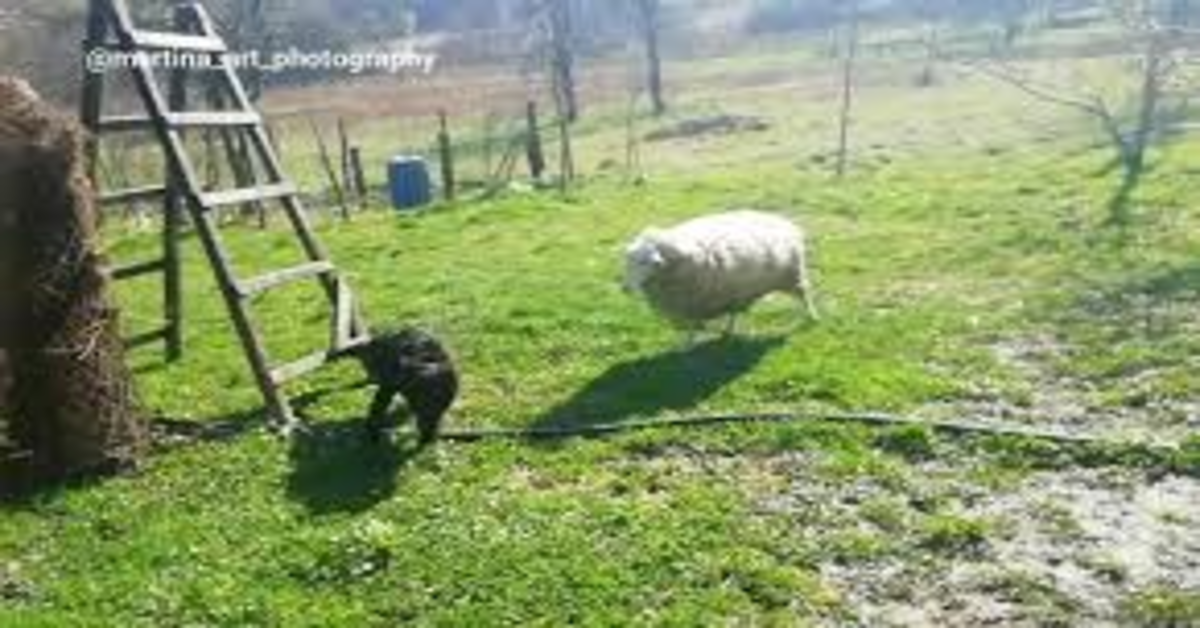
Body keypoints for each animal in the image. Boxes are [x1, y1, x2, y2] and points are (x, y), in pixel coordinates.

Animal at [628, 211, 816, 336]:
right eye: (628, 262)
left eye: (644, 262)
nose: (625, 288)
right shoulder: (689, 307)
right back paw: (728, 331)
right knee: (735, 310)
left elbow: (692, 331)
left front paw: (688, 347)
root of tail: (781, 219)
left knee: (804, 296)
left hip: (792, 274)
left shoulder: (693, 304)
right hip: (739, 289)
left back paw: (812, 317)